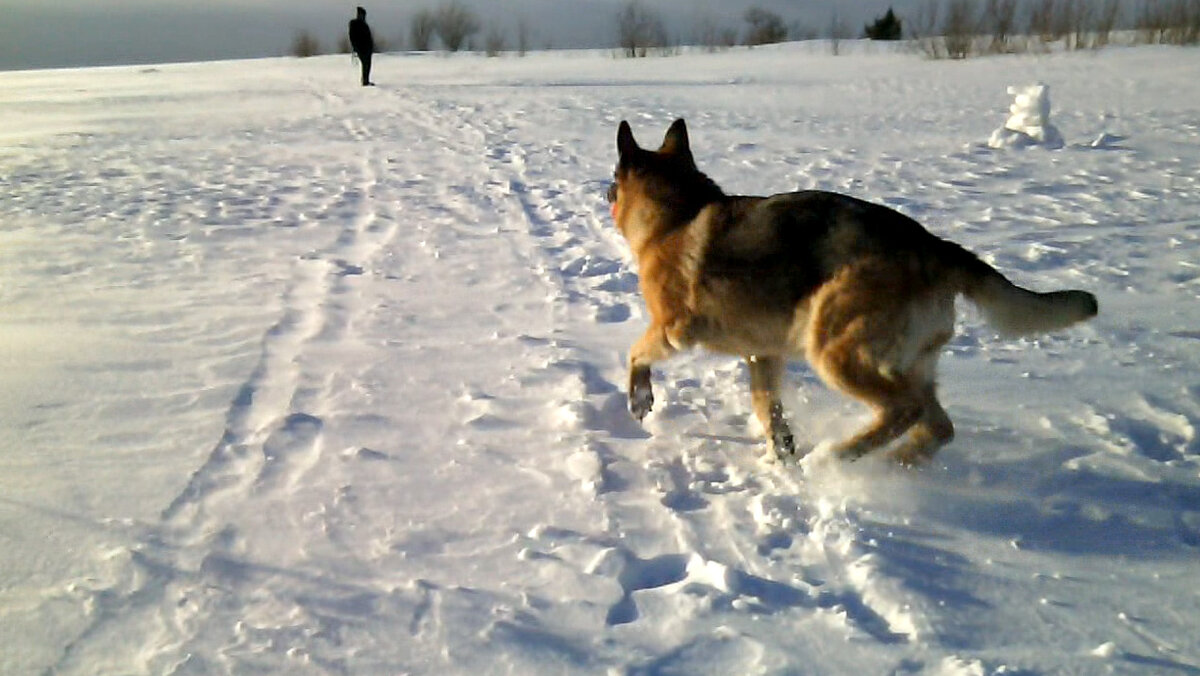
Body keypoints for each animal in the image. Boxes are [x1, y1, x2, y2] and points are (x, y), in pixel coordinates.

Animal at [609, 117, 1099, 465]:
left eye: (614, 183)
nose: (604, 193)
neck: (676, 214)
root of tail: (934, 246)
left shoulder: (673, 329)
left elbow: (635, 354)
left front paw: (639, 399)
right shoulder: (763, 356)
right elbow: (771, 414)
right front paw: (782, 461)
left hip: (834, 352)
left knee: (903, 411)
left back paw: (839, 457)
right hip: (909, 365)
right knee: (936, 426)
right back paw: (891, 464)